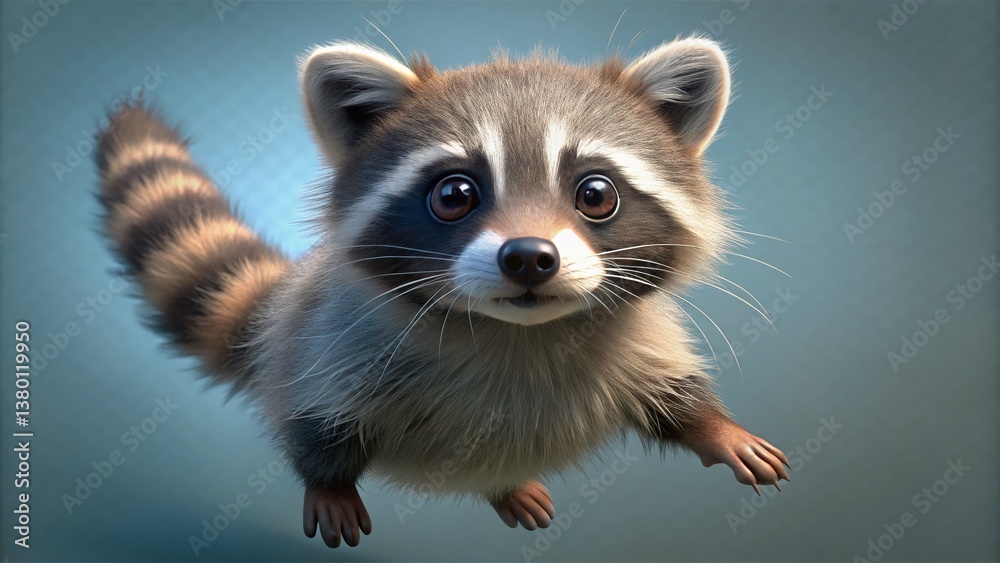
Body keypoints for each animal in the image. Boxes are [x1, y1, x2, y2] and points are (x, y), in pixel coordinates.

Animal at [95, 37, 790, 548]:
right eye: (454, 193)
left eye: (596, 193)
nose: (529, 257)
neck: (518, 332)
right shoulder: (338, 338)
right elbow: (318, 414)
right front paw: (327, 481)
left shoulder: (638, 332)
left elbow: (669, 385)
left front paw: (713, 425)